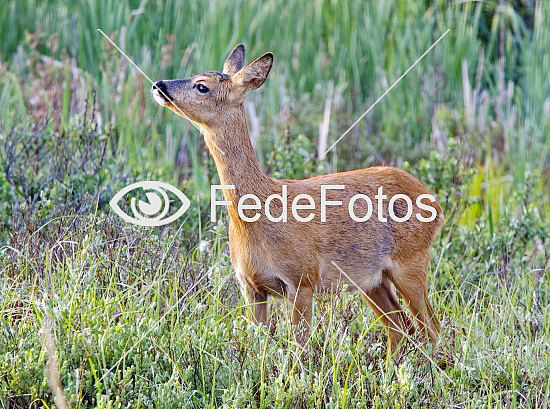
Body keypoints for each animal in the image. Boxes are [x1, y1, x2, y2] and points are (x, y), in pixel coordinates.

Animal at [153, 43, 446, 358]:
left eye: (201, 86)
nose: (159, 85)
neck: (259, 214)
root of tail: (436, 204)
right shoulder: (250, 286)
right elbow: (258, 346)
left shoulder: (303, 279)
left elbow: (301, 349)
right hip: (372, 280)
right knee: (401, 329)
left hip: (411, 262)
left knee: (432, 329)